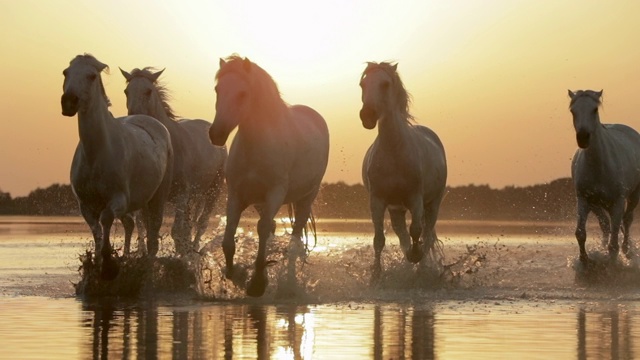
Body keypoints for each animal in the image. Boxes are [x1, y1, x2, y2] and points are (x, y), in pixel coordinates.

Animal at [60, 54, 174, 278]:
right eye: (65, 72)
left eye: (91, 76)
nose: (68, 102)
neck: (97, 154)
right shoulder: (85, 206)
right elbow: (96, 230)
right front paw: (97, 263)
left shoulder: (119, 199)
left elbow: (106, 219)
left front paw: (109, 264)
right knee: (132, 224)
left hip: (158, 197)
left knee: (152, 237)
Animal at [121, 67, 229, 256]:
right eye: (126, 91)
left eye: (148, 91)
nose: (134, 117)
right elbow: (147, 227)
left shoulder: (182, 194)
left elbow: (176, 231)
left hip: (213, 191)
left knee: (201, 223)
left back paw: (194, 250)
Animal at [210, 56, 330, 296]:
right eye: (218, 89)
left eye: (242, 93)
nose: (216, 133)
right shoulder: (236, 195)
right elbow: (228, 239)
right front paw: (236, 274)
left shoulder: (275, 193)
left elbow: (263, 229)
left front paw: (257, 283)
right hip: (259, 202)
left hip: (306, 199)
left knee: (295, 237)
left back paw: (290, 283)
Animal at [358, 62, 448, 282]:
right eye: (363, 84)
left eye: (385, 84)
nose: (367, 116)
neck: (394, 152)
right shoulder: (378, 201)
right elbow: (379, 240)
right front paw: (376, 276)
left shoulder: (415, 199)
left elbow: (416, 231)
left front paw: (416, 257)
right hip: (396, 210)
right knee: (403, 237)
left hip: (433, 204)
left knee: (426, 234)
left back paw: (422, 268)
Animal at [572, 90, 640, 264]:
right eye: (573, 111)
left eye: (594, 109)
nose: (583, 138)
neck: (599, 166)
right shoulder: (583, 199)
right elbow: (580, 233)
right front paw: (584, 261)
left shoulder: (618, 202)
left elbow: (614, 244)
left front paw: (612, 264)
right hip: (596, 205)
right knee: (605, 224)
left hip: (633, 196)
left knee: (627, 221)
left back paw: (627, 250)